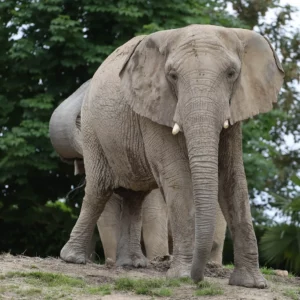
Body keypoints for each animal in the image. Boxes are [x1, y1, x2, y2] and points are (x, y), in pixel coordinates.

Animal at [49, 24, 284, 288]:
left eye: (232, 73)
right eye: (172, 76)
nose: (198, 279)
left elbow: (232, 178)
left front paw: (252, 284)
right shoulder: (154, 105)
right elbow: (177, 177)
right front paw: (181, 276)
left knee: (134, 196)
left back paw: (132, 264)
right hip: (93, 132)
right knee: (99, 189)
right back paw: (73, 259)